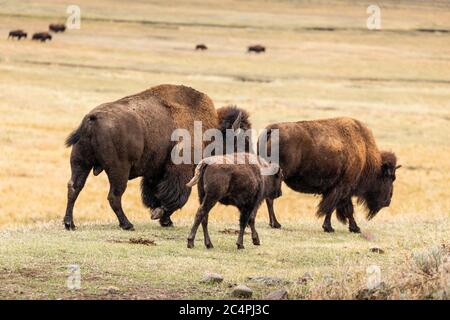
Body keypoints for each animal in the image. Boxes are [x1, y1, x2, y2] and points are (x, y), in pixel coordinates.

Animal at [63, 85, 250, 230]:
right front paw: (162, 217)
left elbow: (156, 194)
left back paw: (69, 224)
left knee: (75, 187)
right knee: (114, 196)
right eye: (239, 142)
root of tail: (92, 118)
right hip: (118, 170)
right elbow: (175, 197)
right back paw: (127, 224)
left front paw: (161, 215)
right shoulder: (180, 172)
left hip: (81, 163)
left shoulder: (155, 172)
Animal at [260, 117, 400, 232]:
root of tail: (271, 130)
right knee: (270, 198)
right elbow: (334, 208)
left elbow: (343, 208)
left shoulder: (340, 190)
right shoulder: (343, 187)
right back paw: (276, 224)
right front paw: (332, 227)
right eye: (390, 178)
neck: (365, 154)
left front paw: (352, 227)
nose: (388, 200)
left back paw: (274, 224)